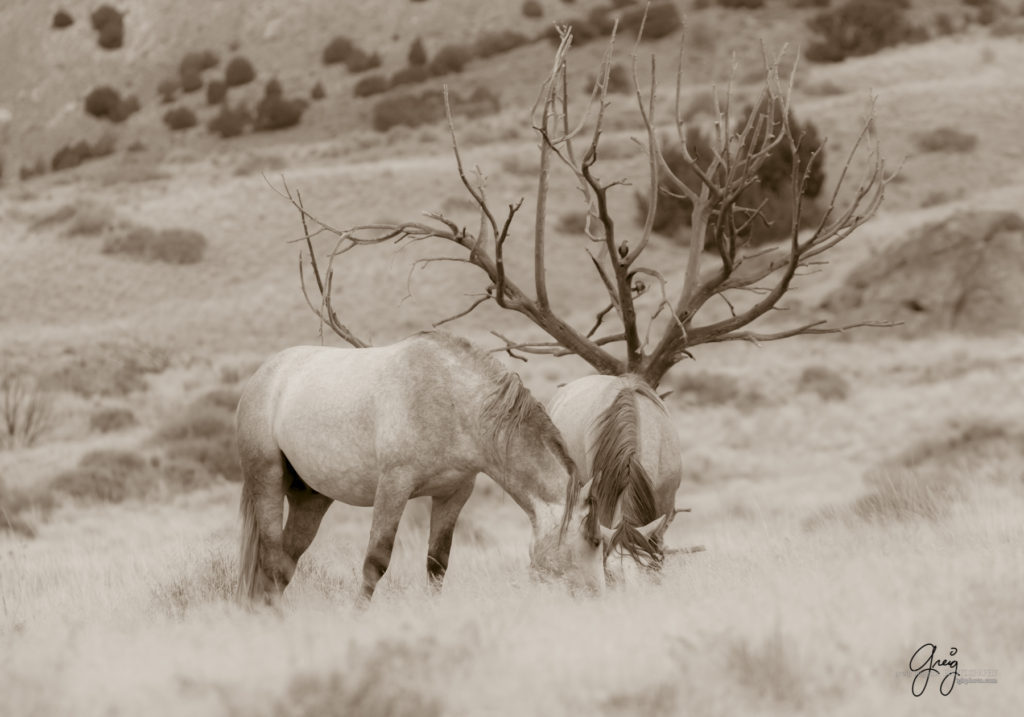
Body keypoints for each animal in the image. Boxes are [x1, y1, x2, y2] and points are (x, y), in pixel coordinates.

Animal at [237, 333, 606, 602]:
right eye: (595, 541)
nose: (596, 598)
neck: (453, 402)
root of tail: (263, 375)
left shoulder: (454, 494)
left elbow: (437, 564)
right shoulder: (394, 486)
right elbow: (376, 561)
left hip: (311, 498)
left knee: (283, 566)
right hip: (268, 481)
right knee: (271, 560)